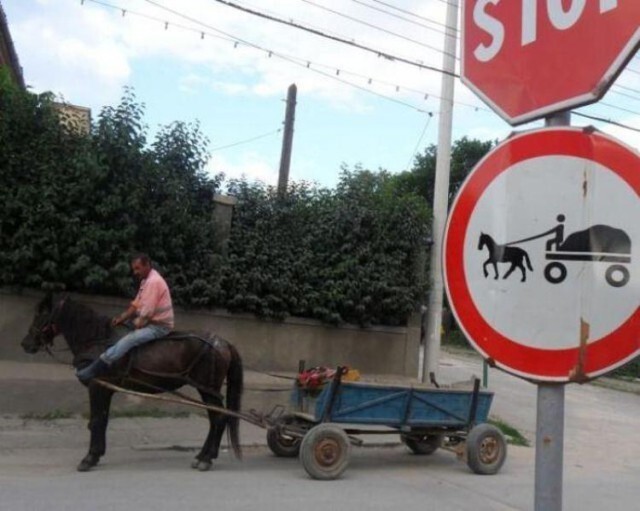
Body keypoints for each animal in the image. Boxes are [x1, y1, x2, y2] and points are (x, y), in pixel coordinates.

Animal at [21, 294, 242, 474]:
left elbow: (96, 421)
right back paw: (202, 456)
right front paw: (97, 454)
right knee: (215, 419)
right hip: (206, 390)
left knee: (219, 418)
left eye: (40, 317)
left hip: (208, 389)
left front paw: (89, 458)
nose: (25, 344)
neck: (97, 340)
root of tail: (223, 343)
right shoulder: (106, 390)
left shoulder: (97, 387)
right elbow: (102, 420)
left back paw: (207, 458)